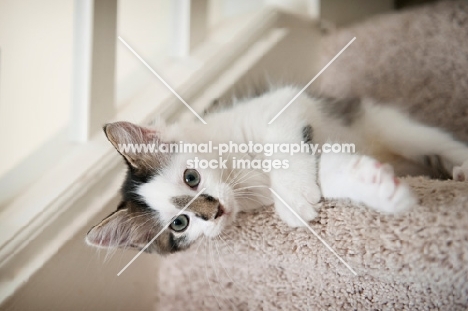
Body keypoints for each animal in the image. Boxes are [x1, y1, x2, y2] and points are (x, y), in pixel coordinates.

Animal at [85, 87, 468, 256]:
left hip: (391, 127)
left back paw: (461, 168)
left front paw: (294, 196)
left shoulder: (283, 103)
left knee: (440, 144)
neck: (240, 172)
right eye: (180, 224)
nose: (214, 211)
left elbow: (283, 146)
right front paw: (378, 186)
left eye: (191, 178)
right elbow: (329, 173)